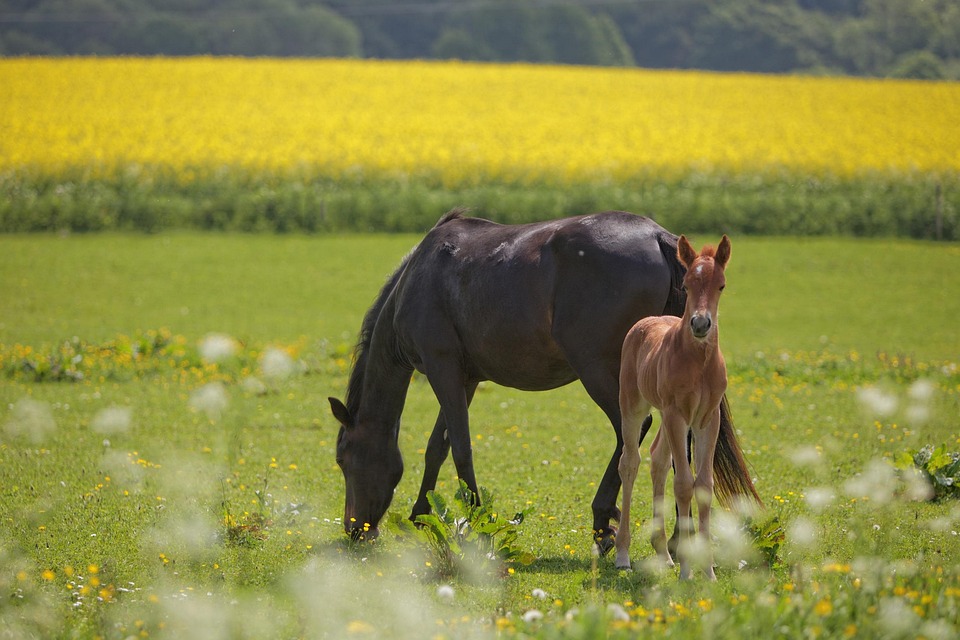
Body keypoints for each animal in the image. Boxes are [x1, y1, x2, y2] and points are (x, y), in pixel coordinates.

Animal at [329, 209, 756, 552]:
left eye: (342, 458)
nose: (355, 529)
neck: (418, 279)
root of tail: (656, 235)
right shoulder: (465, 378)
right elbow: (439, 446)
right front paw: (422, 514)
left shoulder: (441, 367)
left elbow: (461, 448)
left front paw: (476, 520)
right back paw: (677, 536)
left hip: (599, 370)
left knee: (632, 433)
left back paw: (604, 520)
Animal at [615, 234, 760, 578]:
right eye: (687, 283)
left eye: (721, 285)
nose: (701, 323)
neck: (698, 363)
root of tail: (646, 321)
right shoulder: (677, 414)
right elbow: (683, 484)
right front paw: (686, 571)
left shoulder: (707, 418)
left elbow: (703, 485)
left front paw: (707, 571)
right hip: (635, 407)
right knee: (630, 462)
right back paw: (623, 554)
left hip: (668, 418)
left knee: (657, 458)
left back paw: (663, 554)